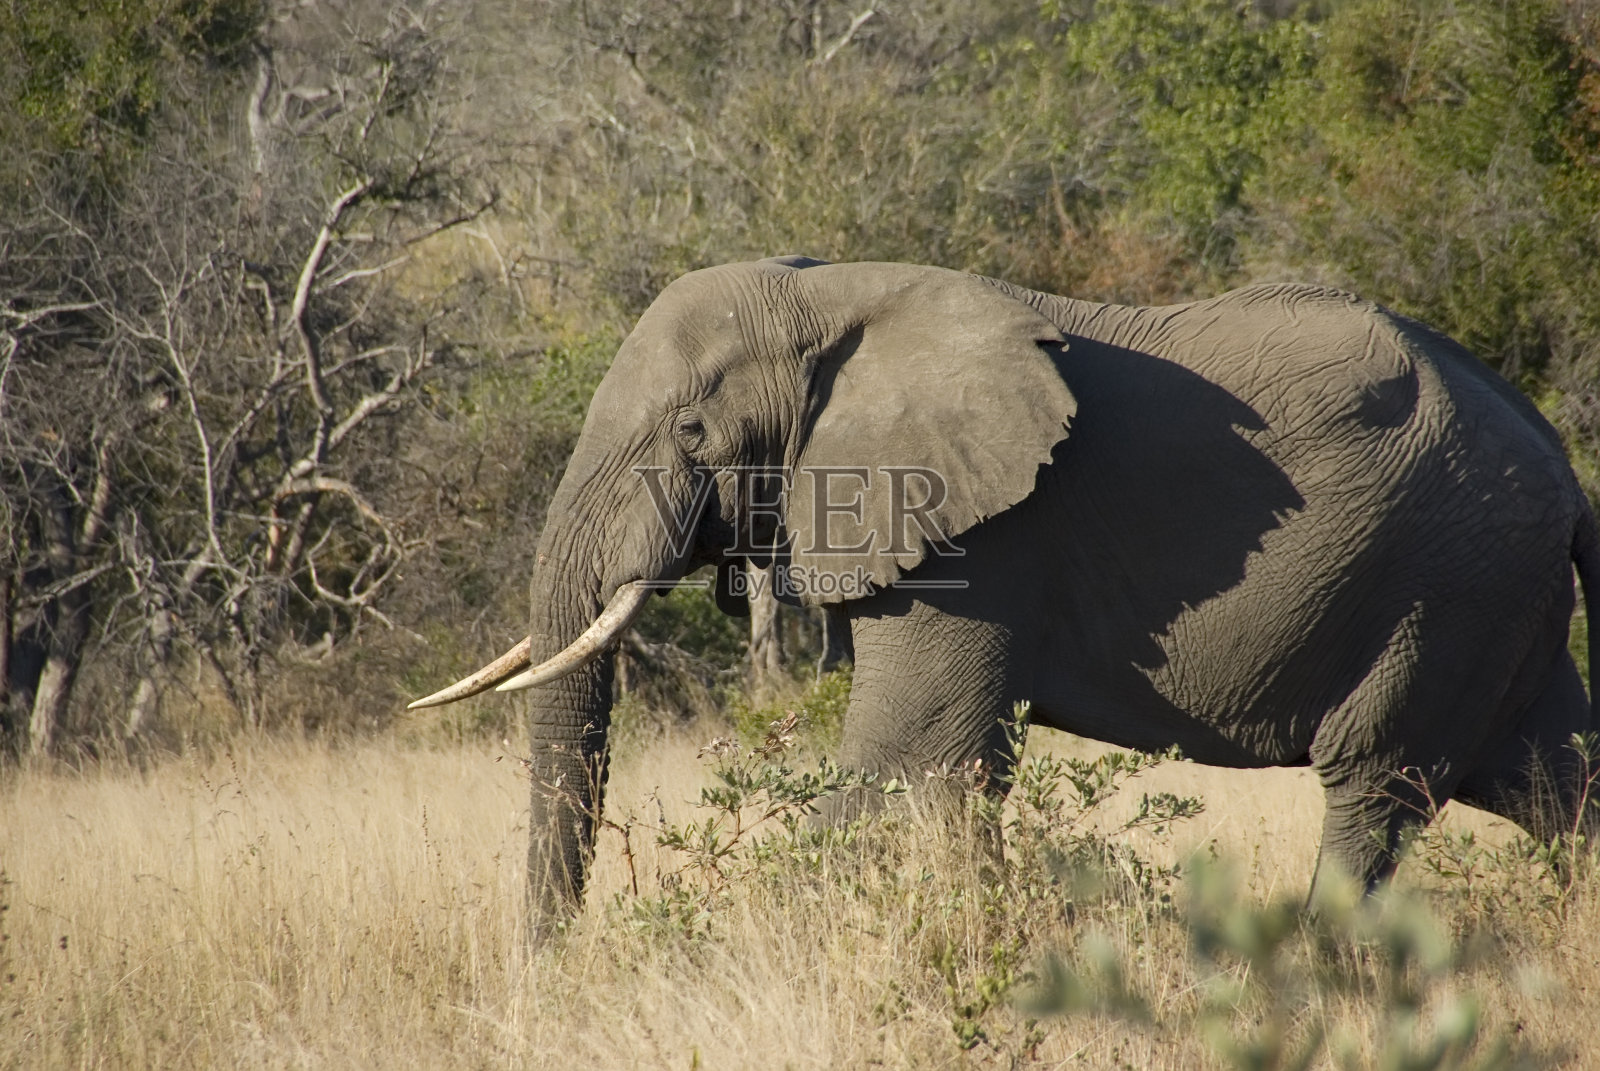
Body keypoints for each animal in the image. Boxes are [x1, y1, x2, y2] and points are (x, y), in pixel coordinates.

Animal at [411, 256, 1599, 924]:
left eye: (693, 432)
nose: (551, 977)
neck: (832, 290)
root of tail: (1562, 464)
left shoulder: (988, 533)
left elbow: (910, 755)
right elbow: (954, 769)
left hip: (1449, 587)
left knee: (1375, 785)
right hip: (1496, 598)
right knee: (1553, 780)